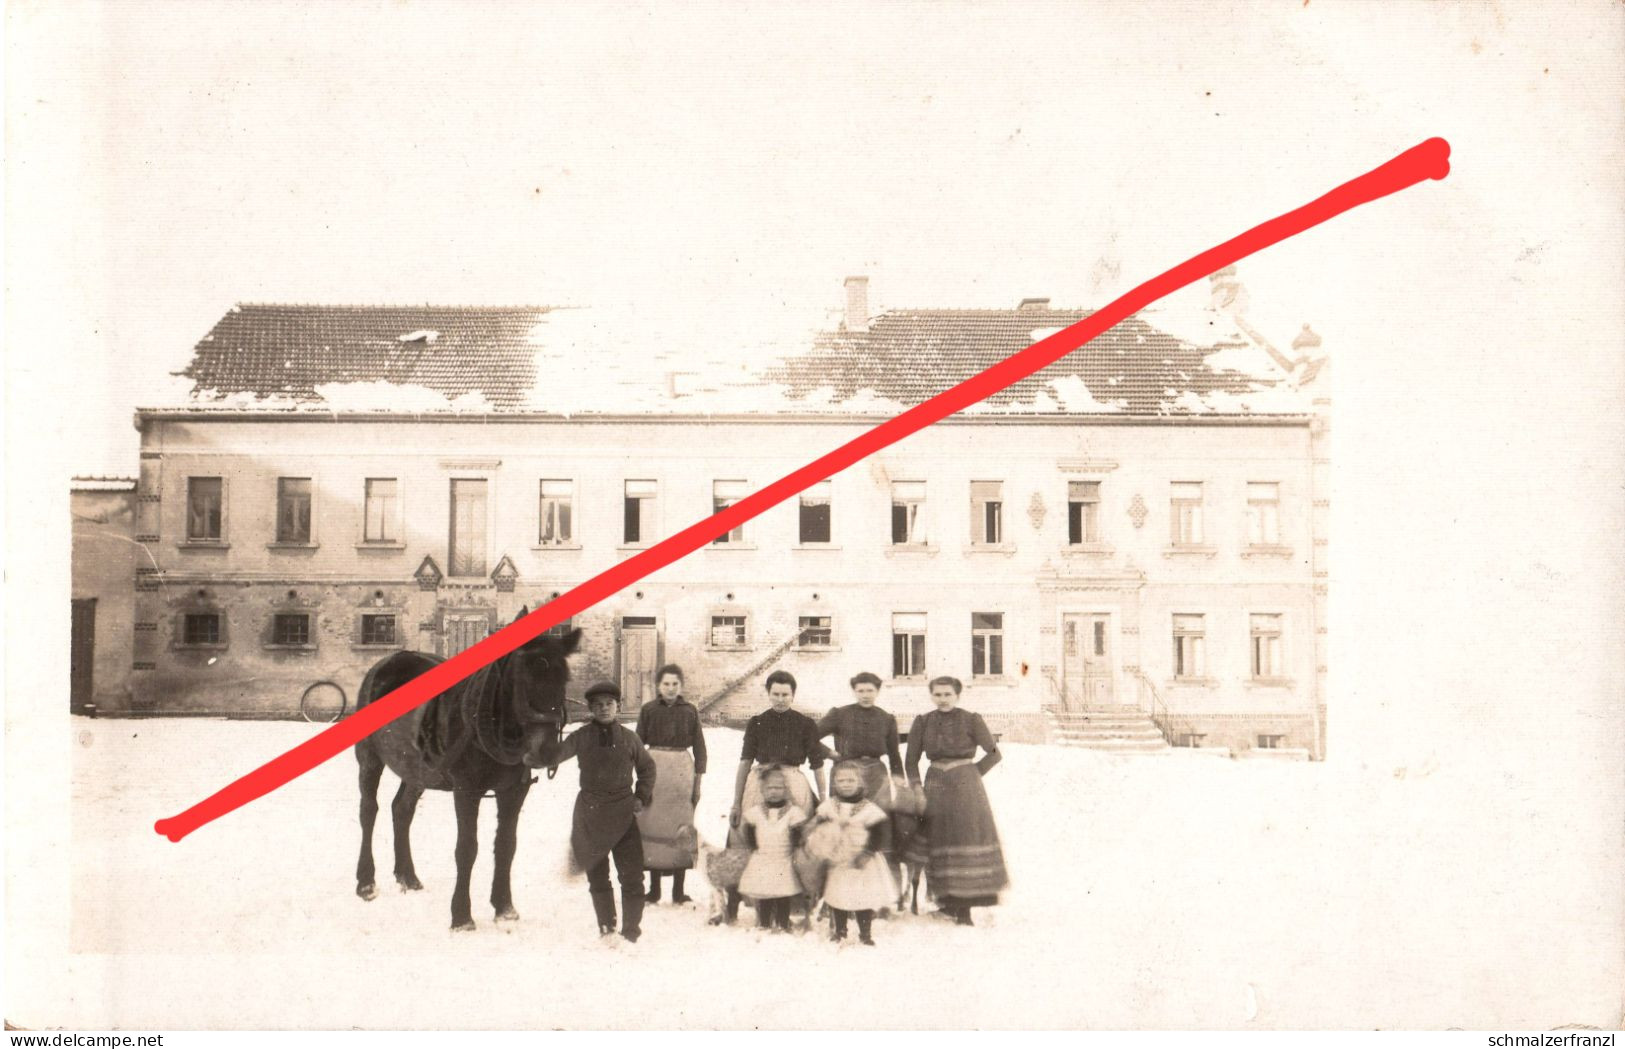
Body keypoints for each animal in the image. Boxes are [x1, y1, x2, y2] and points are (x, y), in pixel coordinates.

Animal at [352, 613, 581, 935]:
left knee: (402, 809)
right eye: (521, 678)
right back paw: (366, 883)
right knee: (369, 811)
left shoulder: (514, 791)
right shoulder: (466, 790)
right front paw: (461, 916)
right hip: (369, 759)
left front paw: (504, 908)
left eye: (564, 679)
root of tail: (387, 662)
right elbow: (467, 849)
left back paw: (407, 876)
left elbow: (506, 846)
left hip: (418, 768)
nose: (545, 750)